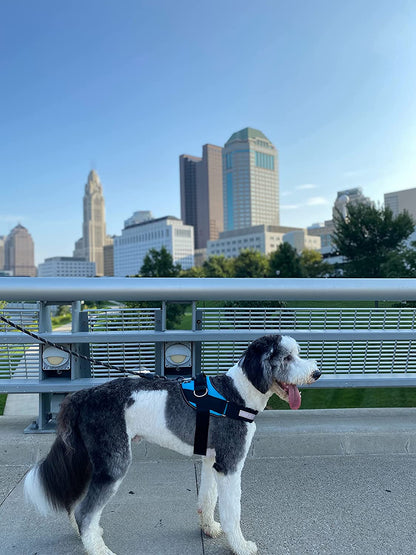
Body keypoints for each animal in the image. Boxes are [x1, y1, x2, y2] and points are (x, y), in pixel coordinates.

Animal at [24, 334, 320, 555]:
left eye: (297, 354)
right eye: (287, 357)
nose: (316, 373)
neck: (236, 395)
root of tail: (83, 395)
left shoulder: (212, 460)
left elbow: (208, 498)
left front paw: (209, 527)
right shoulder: (231, 464)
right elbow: (232, 510)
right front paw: (241, 546)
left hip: (93, 460)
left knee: (77, 507)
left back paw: (90, 537)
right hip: (113, 463)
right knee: (86, 511)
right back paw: (98, 548)